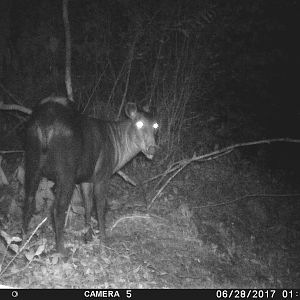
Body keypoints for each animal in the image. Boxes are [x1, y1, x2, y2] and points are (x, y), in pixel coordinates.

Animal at [22, 96, 159, 255]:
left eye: (156, 125)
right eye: (139, 123)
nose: (152, 148)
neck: (118, 149)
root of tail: (45, 124)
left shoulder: (86, 179)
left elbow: (87, 205)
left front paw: (88, 237)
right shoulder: (102, 174)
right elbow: (100, 207)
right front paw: (103, 243)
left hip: (32, 162)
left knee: (28, 200)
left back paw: (22, 242)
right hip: (66, 171)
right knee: (57, 208)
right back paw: (61, 250)